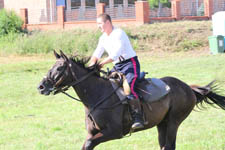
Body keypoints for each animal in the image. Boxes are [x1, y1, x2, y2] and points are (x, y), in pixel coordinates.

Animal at [37, 51, 224, 149]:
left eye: (59, 68)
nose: (41, 86)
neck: (97, 95)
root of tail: (188, 88)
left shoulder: (114, 132)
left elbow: (90, 143)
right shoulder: (92, 133)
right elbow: (86, 144)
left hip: (173, 122)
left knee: (170, 145)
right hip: (162, 124)